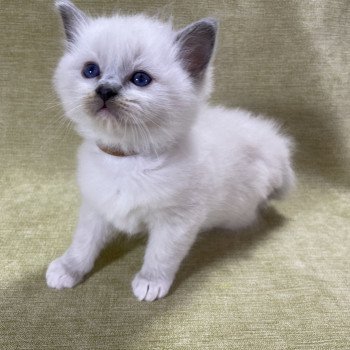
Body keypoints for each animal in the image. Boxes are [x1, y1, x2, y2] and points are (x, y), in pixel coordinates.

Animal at [45, 0, 294, 300]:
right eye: (91, 71)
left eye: (140, 79)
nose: (105, 90)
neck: (128, 161)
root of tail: (275, 141)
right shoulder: (96, 207)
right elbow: (83, 243)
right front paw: (68, 269)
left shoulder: (176, 220)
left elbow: (160, 255)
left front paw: (150, 283)